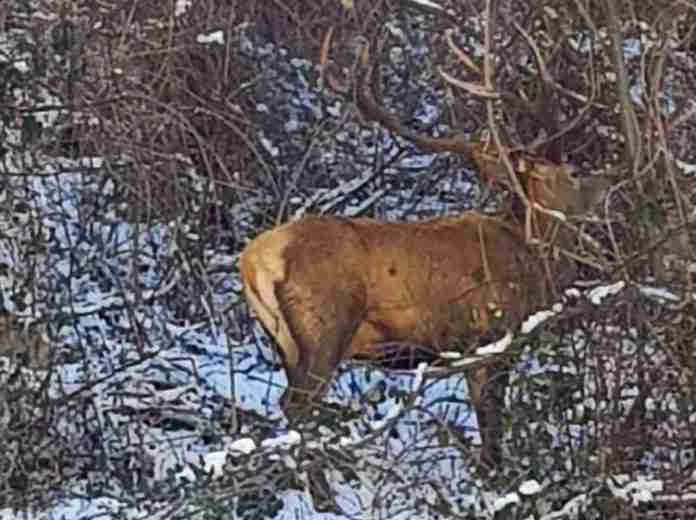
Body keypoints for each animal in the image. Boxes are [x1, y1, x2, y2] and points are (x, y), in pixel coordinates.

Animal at [239, 35, 609, 510]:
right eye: (574, 172)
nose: (605, 184)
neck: (532, 256)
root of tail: (255, 261)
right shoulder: (490, 334)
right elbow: (492, 420)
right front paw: (496, 483)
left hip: (283, 341)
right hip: (325, 326)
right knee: (298, 406)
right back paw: (326, 502)